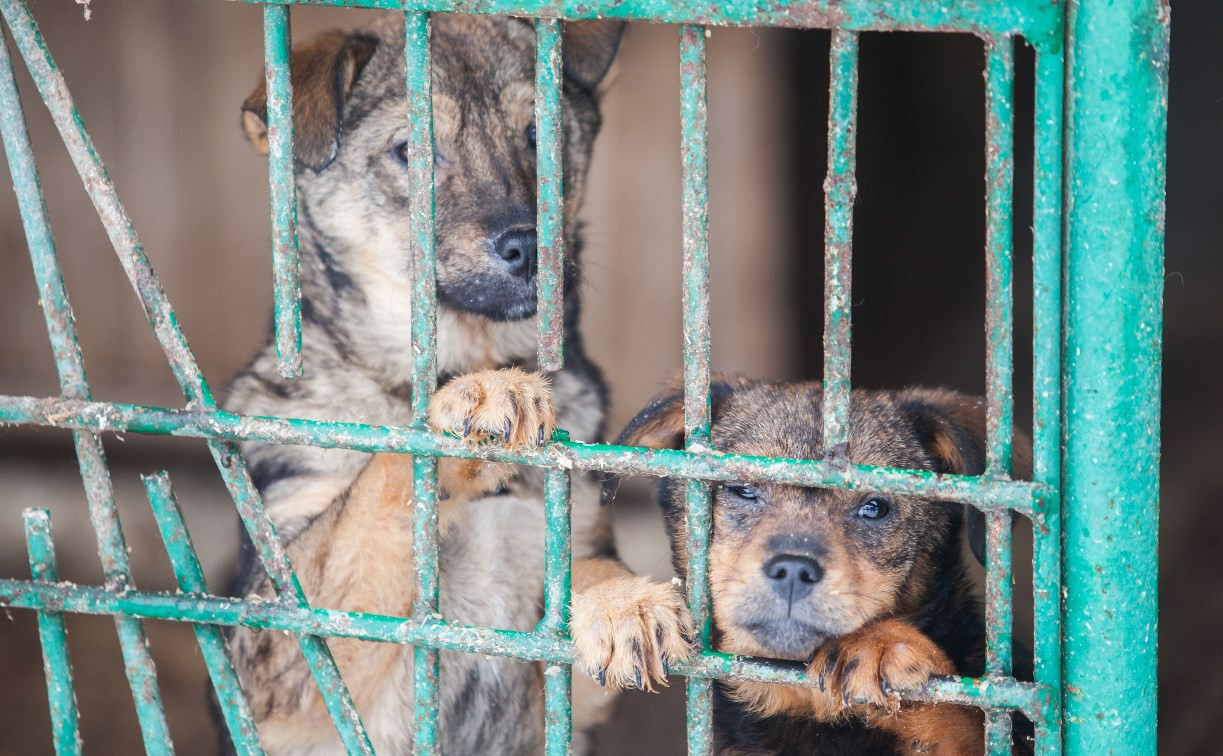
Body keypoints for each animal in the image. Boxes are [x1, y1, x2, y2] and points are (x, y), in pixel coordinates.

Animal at [225, 14, 694, 748]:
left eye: (539, 135)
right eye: (410, 151)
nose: (528, 248)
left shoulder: (569, 701)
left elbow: (588, 566)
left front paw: (623, 602)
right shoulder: (282, 643)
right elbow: (372, 493)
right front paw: (478, 397)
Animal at [611, 376, 1032, 753]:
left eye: (875, 507)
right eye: (743, 489)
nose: (794, 570)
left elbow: (966, 720)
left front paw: (880, 643)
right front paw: (632, 611)